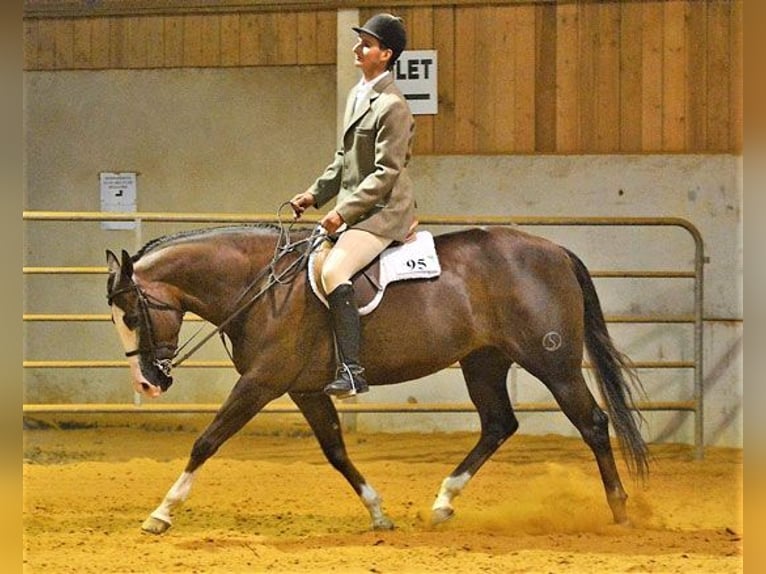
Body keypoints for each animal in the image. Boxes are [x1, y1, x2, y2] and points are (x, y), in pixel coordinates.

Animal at [106, 222, 648, 536]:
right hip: (484, 362)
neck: (262, 285)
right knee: (498, 424)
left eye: (132, 314)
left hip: (552, 363)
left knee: (593, 423)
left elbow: (207, 440)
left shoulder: (262, 383)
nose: (148, 383)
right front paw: (378, 513)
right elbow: (336, 451)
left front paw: (161, 513)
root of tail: (554, 249)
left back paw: (620, 510)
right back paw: (443, 502)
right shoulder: (304, 389)